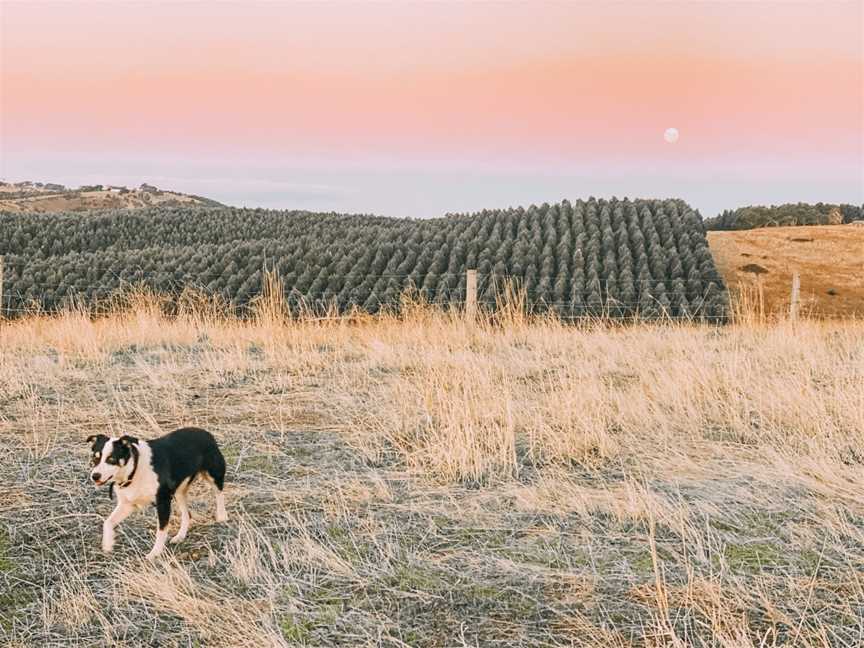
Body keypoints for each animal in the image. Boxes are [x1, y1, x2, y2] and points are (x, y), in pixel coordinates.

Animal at [87, 428, 228, 560]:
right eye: (95, 458)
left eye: (111, 459)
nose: (95, 476)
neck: (134, 469)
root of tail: (205, 432)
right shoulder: (127, 504)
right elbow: (108, 522)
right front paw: (108, 544)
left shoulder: (163, 502)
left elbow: (161, 531)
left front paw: (155, 553)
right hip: (179, 492)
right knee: (187, 514)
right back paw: (180, 536)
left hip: (213, 474)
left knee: (219, 492)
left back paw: (222, 516)